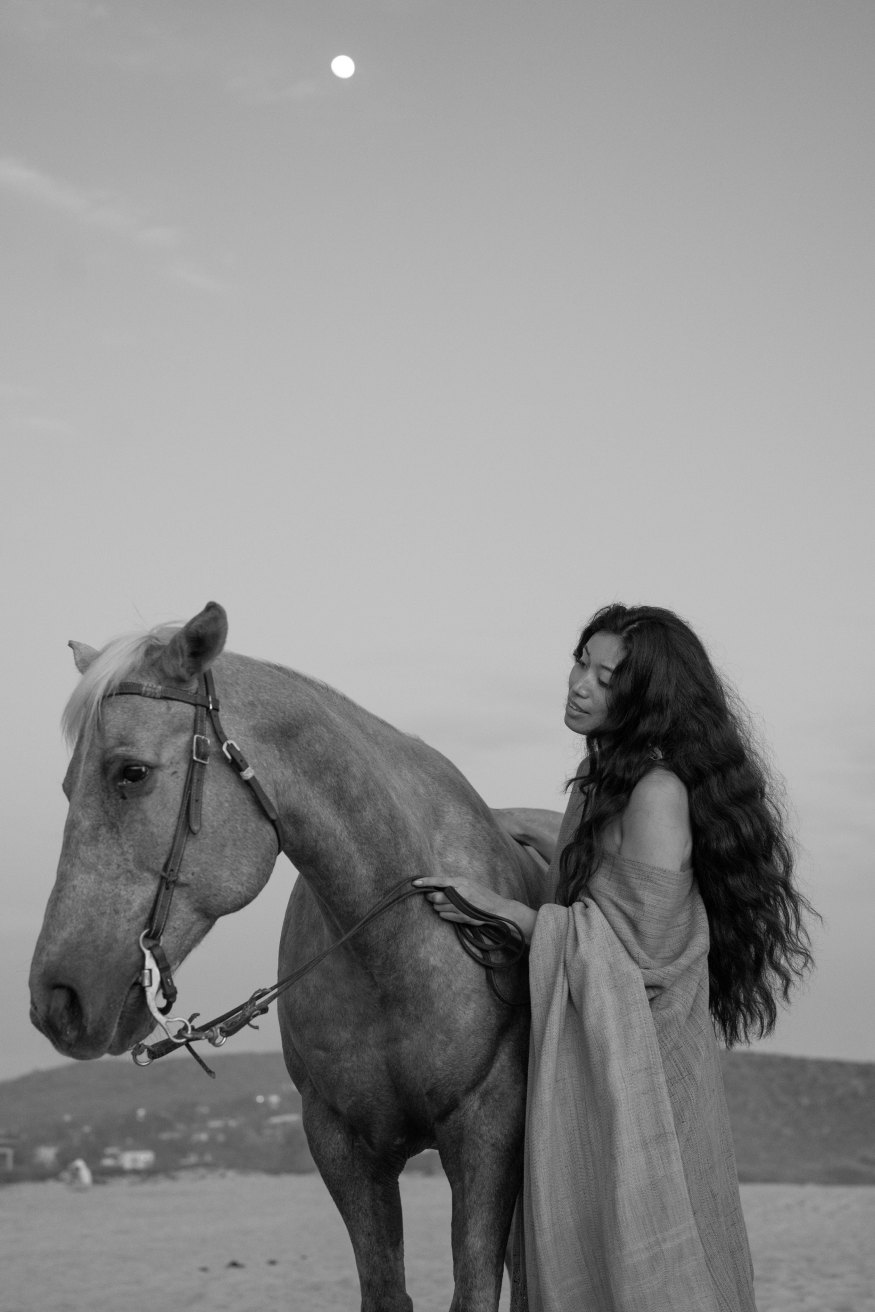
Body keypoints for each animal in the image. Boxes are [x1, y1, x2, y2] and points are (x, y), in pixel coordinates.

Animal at [29, 602, 560, 1312]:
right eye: (66, 785)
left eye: (130, 772)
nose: (56, 998)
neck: (397, 950)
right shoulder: (340, 1147)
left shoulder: (486, 1134)